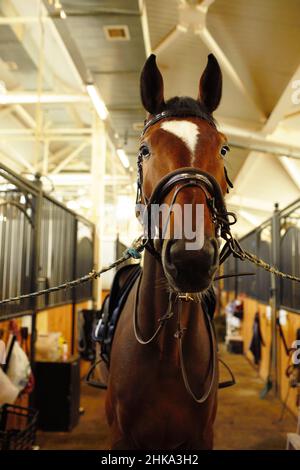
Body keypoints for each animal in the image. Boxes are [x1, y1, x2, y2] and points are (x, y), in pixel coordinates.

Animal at [105, 53, 232, 450]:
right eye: (144, 150)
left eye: (223, 148)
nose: (191, 259)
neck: (166, 345)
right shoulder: (121, 438)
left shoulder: (203, 436)